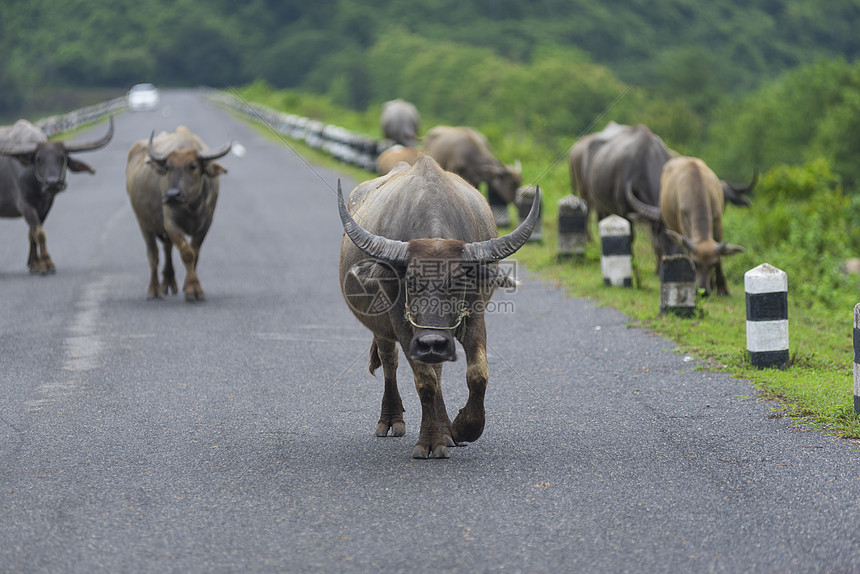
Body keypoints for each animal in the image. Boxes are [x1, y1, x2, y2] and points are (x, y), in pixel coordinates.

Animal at [0, 117, 113, 274]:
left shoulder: (45, 206)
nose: (52, 183)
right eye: (39, 159)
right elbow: (39, 232)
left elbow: (33, 233)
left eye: (62, 158)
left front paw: (34, 264)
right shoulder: (25, 205)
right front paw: (46, 264)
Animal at [125, 126, 230, 304]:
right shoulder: (171, 223)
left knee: (167, 248)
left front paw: (189, 285)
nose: (172, 195)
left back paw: (168, 282)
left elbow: (195, 253)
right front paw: (194, 290)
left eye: (193, 166)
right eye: (168, 167)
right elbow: (187, 253)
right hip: (144, 224)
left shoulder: (206, 224)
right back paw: (154, 290)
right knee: (154, 255)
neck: (192, 207)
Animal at [336, 156, 536, 460]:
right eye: (411, 282)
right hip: (384, 330)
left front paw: (463, 428)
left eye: (458, 281)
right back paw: (392, 419)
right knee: (390, 361)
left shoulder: (474, 315)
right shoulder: (404, 325)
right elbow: (425, 380)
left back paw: (447, 429)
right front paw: (431, 441)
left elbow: (478, 373)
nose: (432, 341)